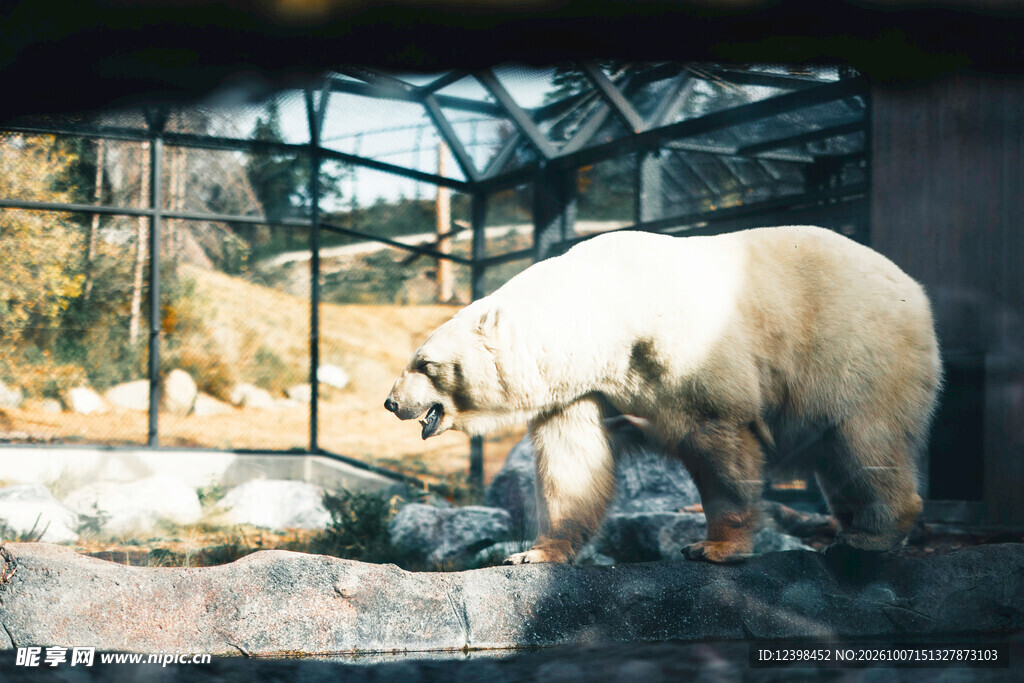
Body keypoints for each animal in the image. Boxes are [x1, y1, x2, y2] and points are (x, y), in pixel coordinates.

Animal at [385, 226, 942, 564]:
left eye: (424, 363)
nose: (391, 402)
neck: (610, 311)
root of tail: (914, 289)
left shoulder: (689, 352)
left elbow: (718, 435)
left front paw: (712, 547)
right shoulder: (585, 384)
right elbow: (571, 460)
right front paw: (534, 552)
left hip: (857, 350)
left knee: (864, 441)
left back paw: (867, 539)